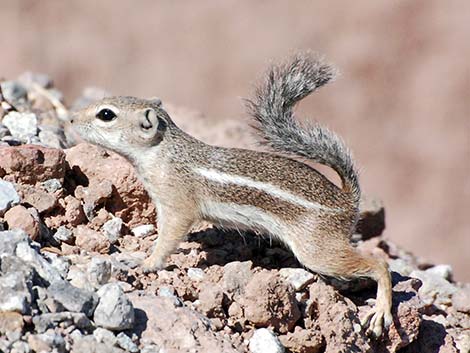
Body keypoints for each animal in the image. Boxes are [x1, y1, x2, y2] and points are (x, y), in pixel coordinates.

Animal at [70, 52, 392, 336]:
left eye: (106, 115)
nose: (71, 120)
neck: (163, 151)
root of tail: (348, 200)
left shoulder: (178, 205)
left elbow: (170, 238)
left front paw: (147, 263)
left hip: (317, 250)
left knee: (380, 264)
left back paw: (381, 311)